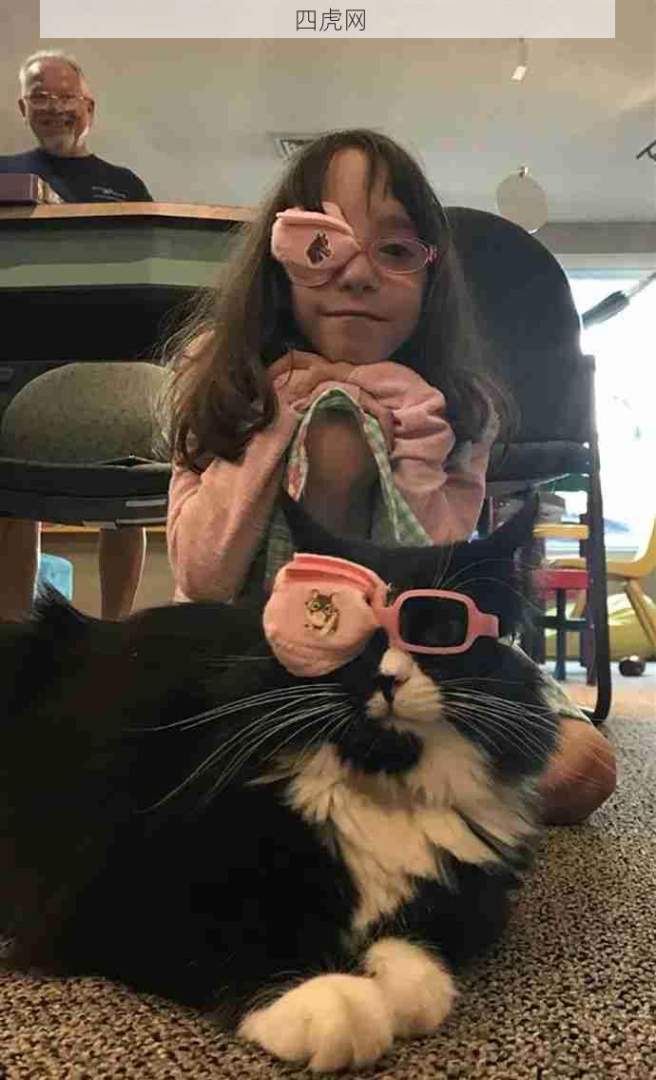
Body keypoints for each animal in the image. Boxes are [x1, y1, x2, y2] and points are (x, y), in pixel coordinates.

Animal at [0, 494, 557, 1072]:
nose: (387, 678)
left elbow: (418, 945)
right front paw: (329, 1000)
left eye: (443, 629)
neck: (378, 783)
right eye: (332, 624)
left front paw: (402, 991)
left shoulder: (471, 896)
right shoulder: (117, 885)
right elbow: (239, 937)